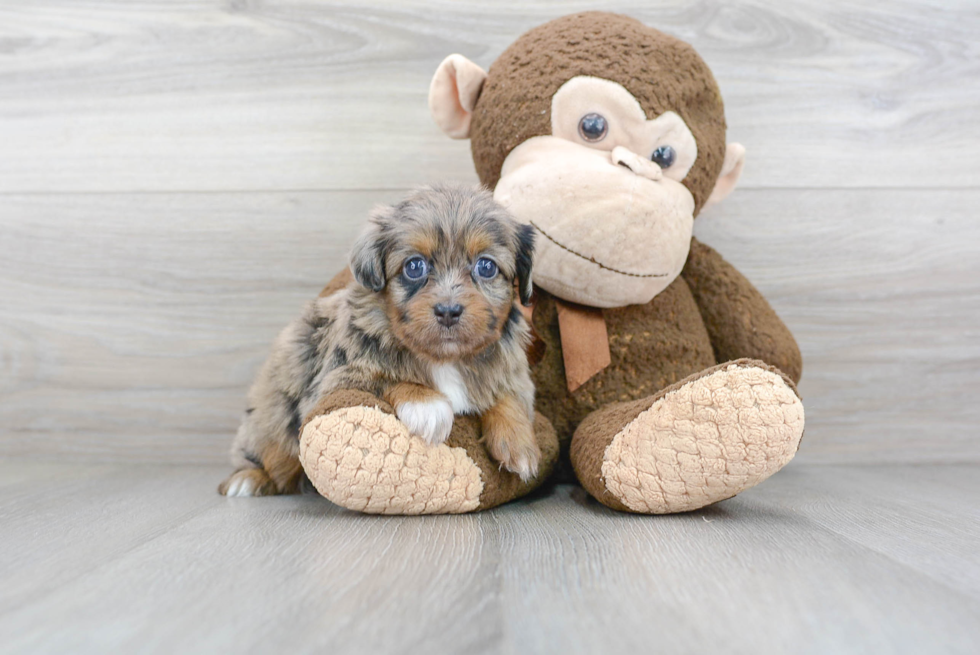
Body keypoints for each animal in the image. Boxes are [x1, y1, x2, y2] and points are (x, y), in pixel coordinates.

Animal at [219, 183, 540, 498]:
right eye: (414, 267)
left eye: (486, 267)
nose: (448, 311)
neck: (444, 359)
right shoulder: (336, 379)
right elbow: (384, 378)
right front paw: (427, 405)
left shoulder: (512, 372)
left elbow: (508, 396)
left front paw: (519, 443)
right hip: (271, 419)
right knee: (268, 455)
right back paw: (247, 479)